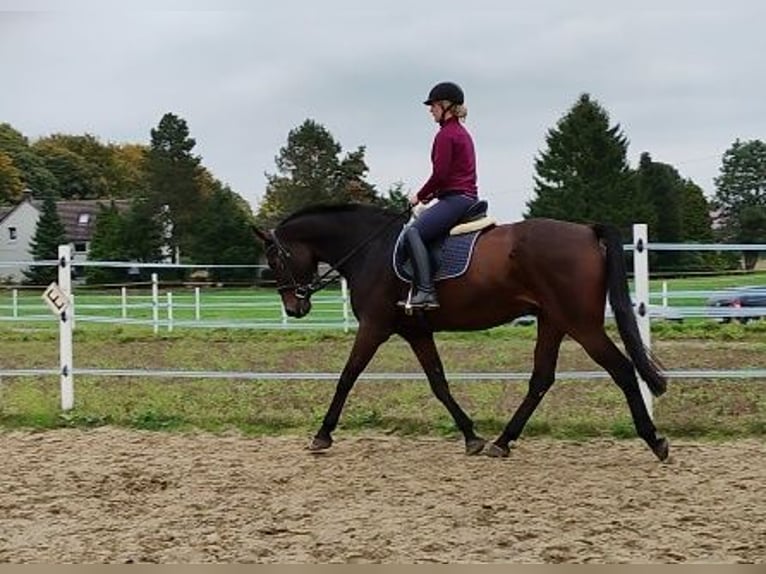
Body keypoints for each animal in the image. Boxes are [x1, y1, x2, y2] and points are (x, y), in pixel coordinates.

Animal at [253, 203, 669, 461]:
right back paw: (502, 441)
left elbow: (347, 376)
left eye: (275, 257)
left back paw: (654, 440)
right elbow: (439, 383)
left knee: (622, 369)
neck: (370, 248)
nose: (294, 307)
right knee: (541, 379)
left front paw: (322, 434)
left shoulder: (374, 327)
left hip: (580, 323)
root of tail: (585, 230)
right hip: (553, 321)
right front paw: (471, 436)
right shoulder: (416, 332)